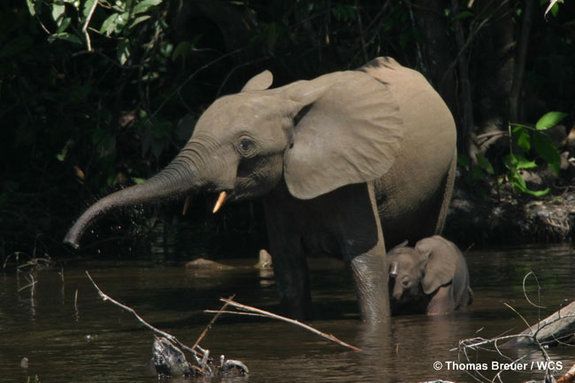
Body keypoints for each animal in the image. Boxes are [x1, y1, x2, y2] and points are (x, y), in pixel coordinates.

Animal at [64, 57, 460, 324]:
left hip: (449, 167)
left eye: (245, 145)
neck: (284, 99)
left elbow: (367, 260)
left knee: (427, 233)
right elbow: (289, 267)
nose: (71, 244)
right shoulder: (279, 192)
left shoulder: (354, 176)